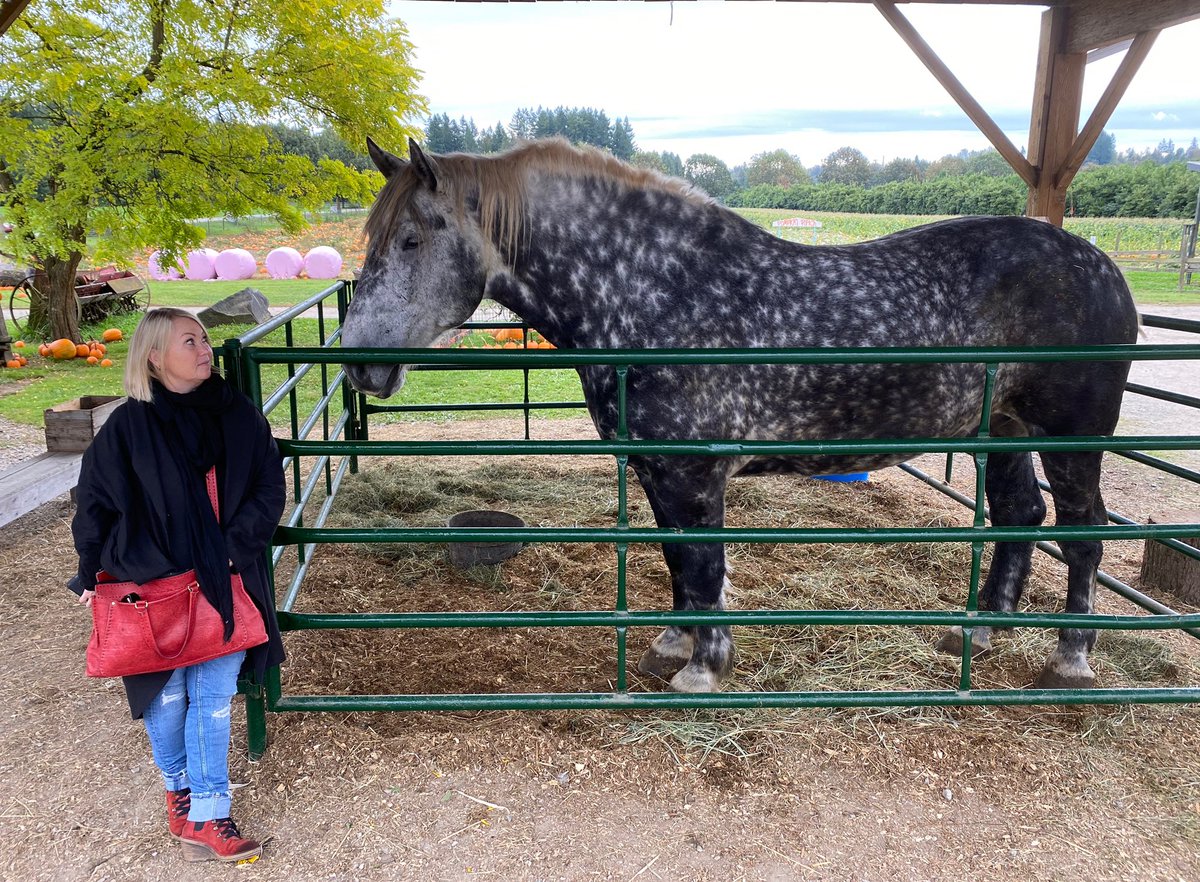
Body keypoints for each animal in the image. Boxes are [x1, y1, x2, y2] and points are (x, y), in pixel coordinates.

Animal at [342, 136, 1139, 694]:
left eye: (411, 239)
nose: (358, 365)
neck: (657, 292)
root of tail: (1102, 265)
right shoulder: (657, 472)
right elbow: (677, 560)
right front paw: (673, 646)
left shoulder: (695, 475)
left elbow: (705, 563)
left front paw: (705, 667)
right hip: (1001, 430)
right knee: (1018, 516)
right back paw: (979, 635)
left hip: (1070, 438)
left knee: (1083, 532)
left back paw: (1071, 660)